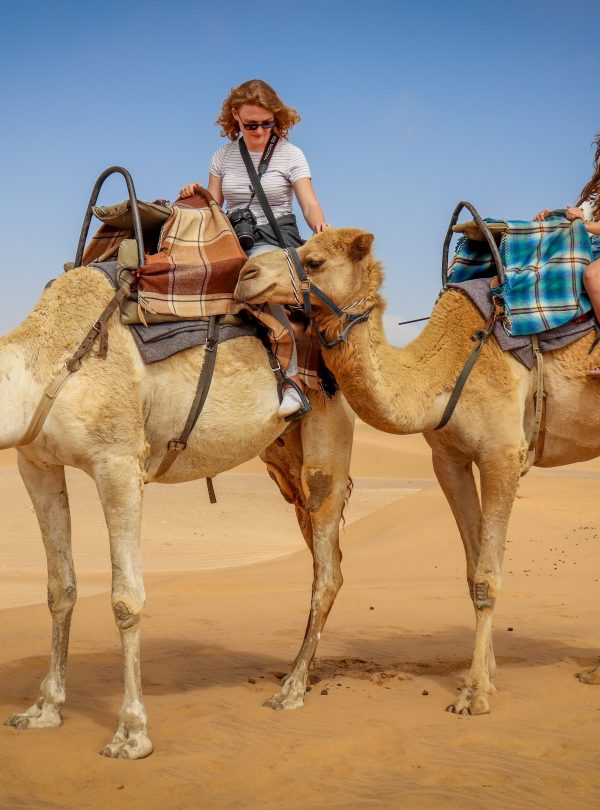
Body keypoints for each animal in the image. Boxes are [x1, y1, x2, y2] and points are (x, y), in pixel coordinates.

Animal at [2, 265, 355, 758]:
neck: (48, 361)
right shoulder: (35, 463)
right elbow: (60, 588)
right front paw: (43, 710)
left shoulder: (118, 463)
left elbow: (126, 600)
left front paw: (131, 734)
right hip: (285, 458)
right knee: (327, 558)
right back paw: (294, 675)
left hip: (327, 435)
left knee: (328, 570)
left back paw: (291, 690)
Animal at [235, 227, 600, 716]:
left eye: (313, 261)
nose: (245, 274)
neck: (444, 369)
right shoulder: (448, 459)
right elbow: (472, 570)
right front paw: (487, 677)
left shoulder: (503, 453)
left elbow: (487, 578)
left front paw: (473, 695)